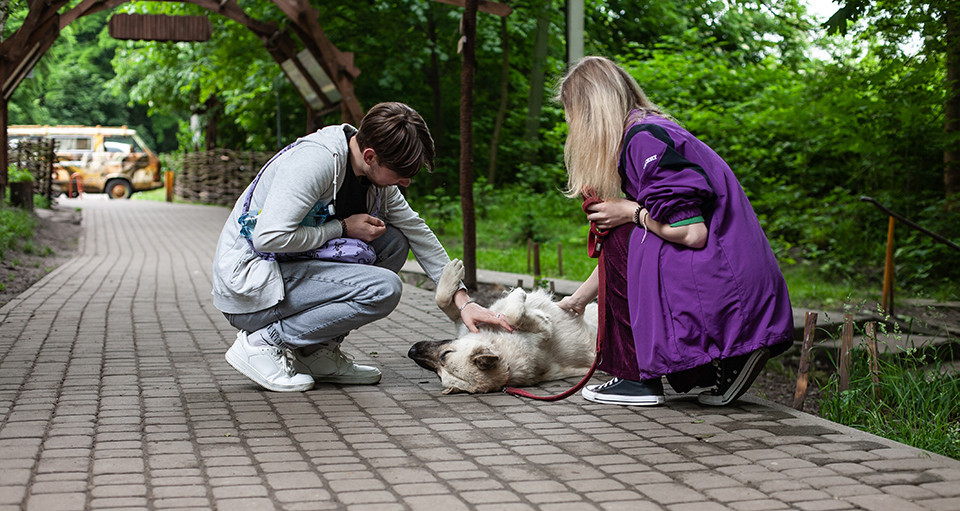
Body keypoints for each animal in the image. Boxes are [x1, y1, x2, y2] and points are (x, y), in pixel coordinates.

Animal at [406, 260, 600, 396]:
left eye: (445, 355)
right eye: (438, 373)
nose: (411, 351)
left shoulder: (470, 319)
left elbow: (443, 300)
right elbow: (443, 300)